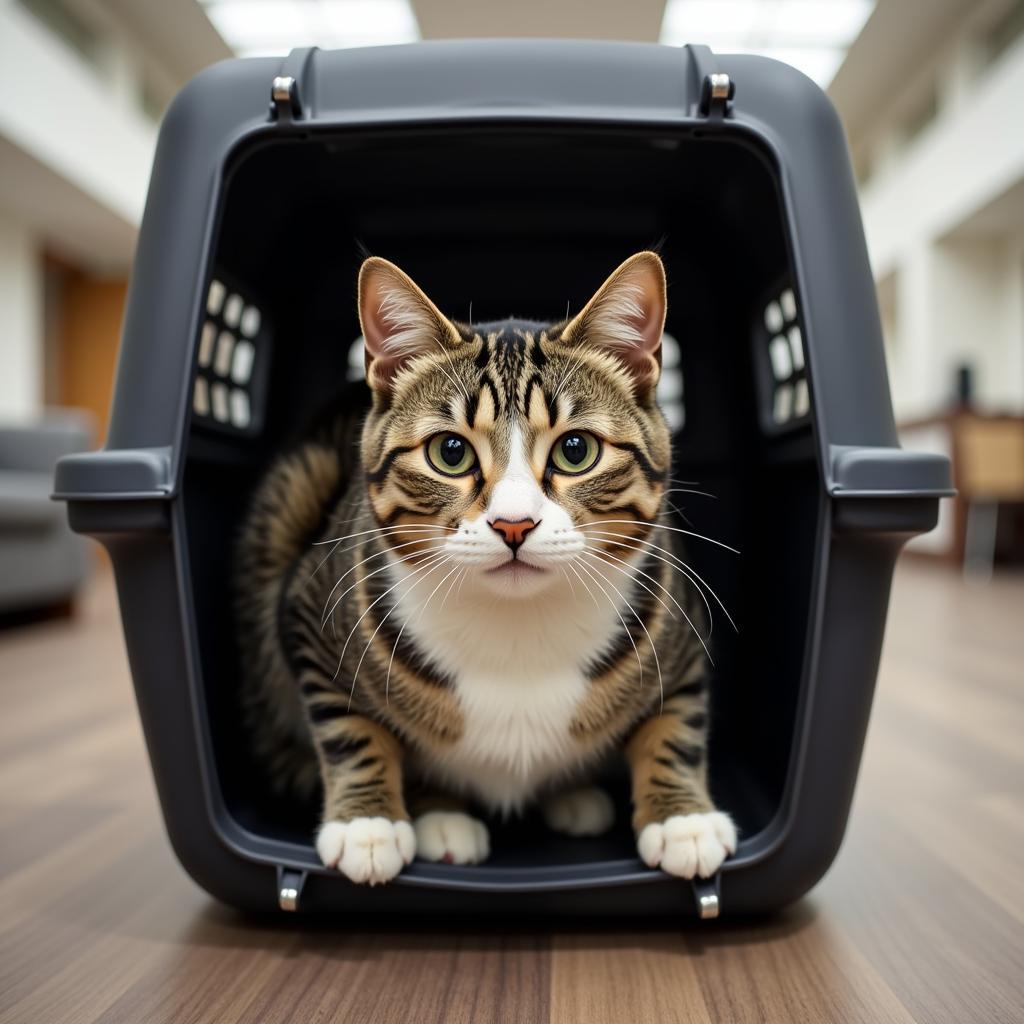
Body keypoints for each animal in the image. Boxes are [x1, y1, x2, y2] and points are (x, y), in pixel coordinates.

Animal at [237, 251, 737, 884]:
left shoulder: (681, 621)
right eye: (450, 453)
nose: (514, 524)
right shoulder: (310, 611)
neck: (516, 626)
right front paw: (367, 825)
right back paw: (442, 815)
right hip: (295, 493)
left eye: (577, 450)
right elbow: (347, 724)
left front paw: (682, 821)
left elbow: (678, 721)